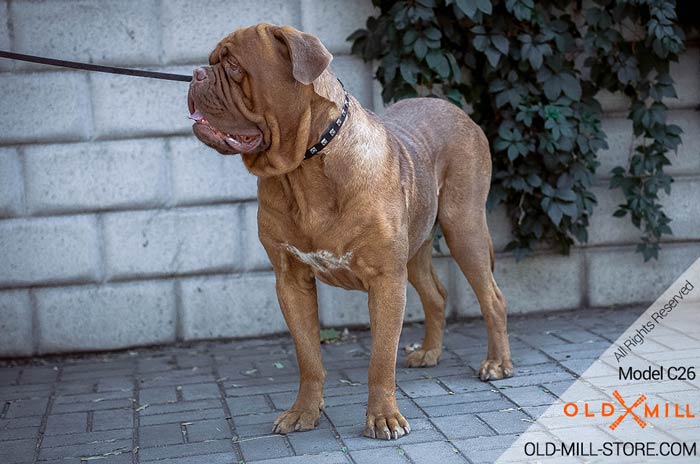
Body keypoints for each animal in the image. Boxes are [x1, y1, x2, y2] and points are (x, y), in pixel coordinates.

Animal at [187, 24, 516, 438]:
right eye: (212, 61)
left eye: (233, 66)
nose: (196, 74)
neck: (304, 168)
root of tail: (458, 111)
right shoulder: (291, 280)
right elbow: (308, 356)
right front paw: (303, 412)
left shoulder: (386, 278)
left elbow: (381, 359)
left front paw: (384, 418)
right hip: (417, 247)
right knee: (436, 295)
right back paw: (429, 352)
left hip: (464, 227)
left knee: (493, 297)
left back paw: (498, 363)